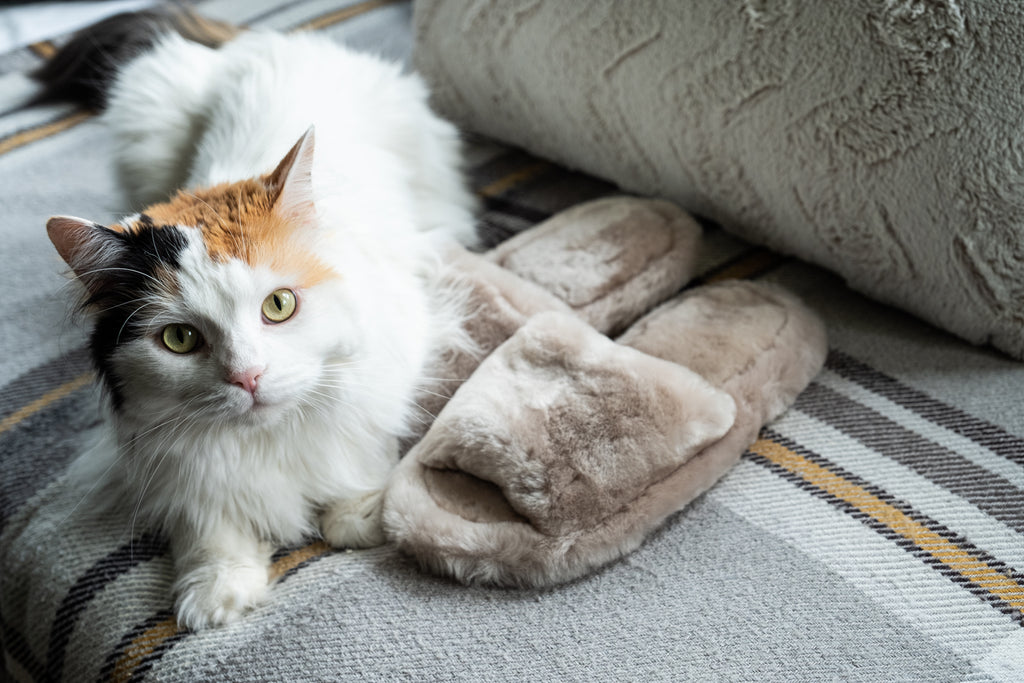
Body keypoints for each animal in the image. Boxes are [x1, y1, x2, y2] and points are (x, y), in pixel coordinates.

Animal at [40, 9, 479, 630]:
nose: (247, 377)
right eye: (179, 338)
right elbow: (207, 526)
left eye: (279, 306)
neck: (268, 439)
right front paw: (214, 593)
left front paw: (360, 512)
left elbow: (364, 451)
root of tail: (271, 39)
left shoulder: (395, 350)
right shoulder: (165, 460)